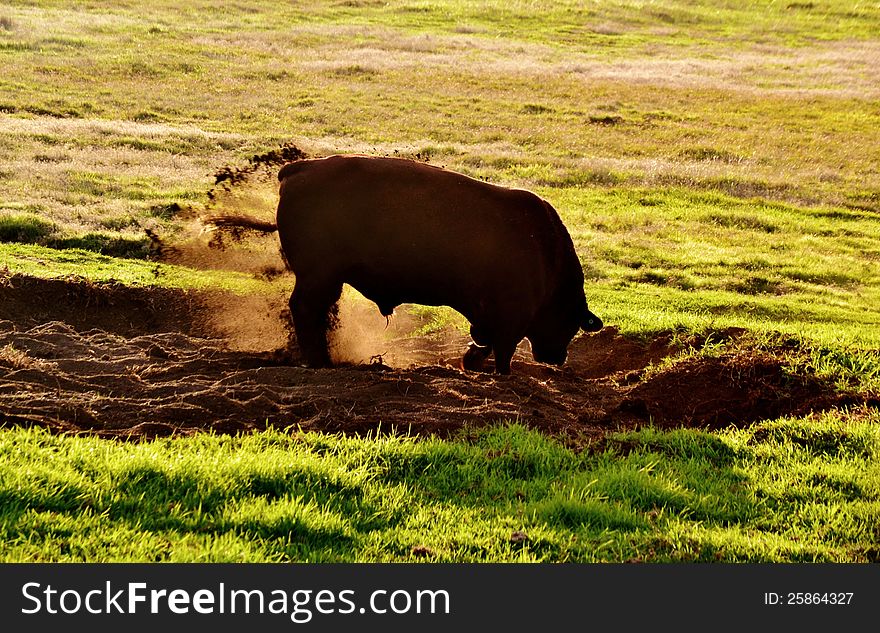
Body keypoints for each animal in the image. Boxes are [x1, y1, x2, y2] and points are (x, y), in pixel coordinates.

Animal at [210, 156, 600, 372]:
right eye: (570, 322)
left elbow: (482, 341)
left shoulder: (486, 317)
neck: (548, 256)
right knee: (306, 310)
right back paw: (318, 360)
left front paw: (469, 362)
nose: (558, 358)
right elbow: (502, 351)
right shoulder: (510, 317)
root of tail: (299, 168)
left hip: (324, 280)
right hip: (319, 278)